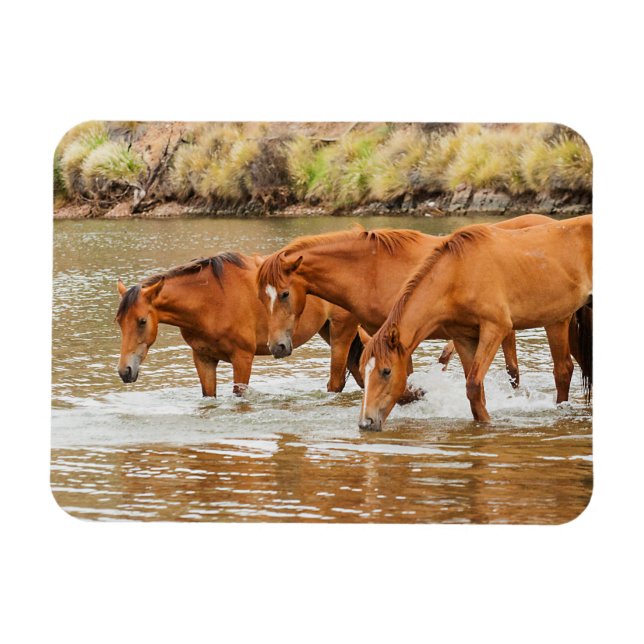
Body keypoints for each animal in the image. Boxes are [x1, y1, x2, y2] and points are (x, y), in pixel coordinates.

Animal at [115, 252, 364, 397]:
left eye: (142, 321)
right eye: (119, 322)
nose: (124, 371)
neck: (210, 301)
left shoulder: (242, 358)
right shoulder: (203, 359)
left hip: (341, 334)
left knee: (336, 383)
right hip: (328, 331)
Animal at [358, 215, 592, 429]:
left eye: (386, 371)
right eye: (362, 372)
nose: (366, 422)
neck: (458, 274)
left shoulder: (495, 328)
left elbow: (473, 384)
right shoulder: (463, 337)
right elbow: (476, 390)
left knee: (563, 371)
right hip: (560, 320)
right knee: (565, 369)